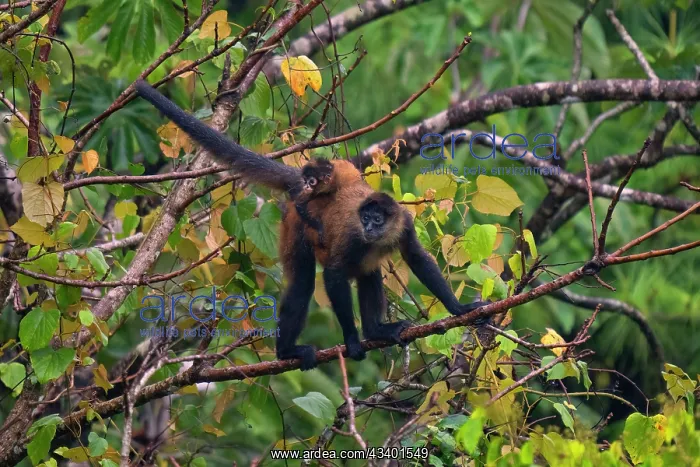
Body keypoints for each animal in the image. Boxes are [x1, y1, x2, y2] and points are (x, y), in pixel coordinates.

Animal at [134, 80, 488, 370]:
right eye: (365, 220)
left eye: (377, 220)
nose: (370, 228)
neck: (378, 236)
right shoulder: (353, 236)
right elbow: (333, 275)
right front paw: (352, 341)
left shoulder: (404, 224)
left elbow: (417, 259)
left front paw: (458, 308)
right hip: (295, 223)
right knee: (304, 282)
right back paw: (288, 352)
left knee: (369, 272)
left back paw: (376, 330)